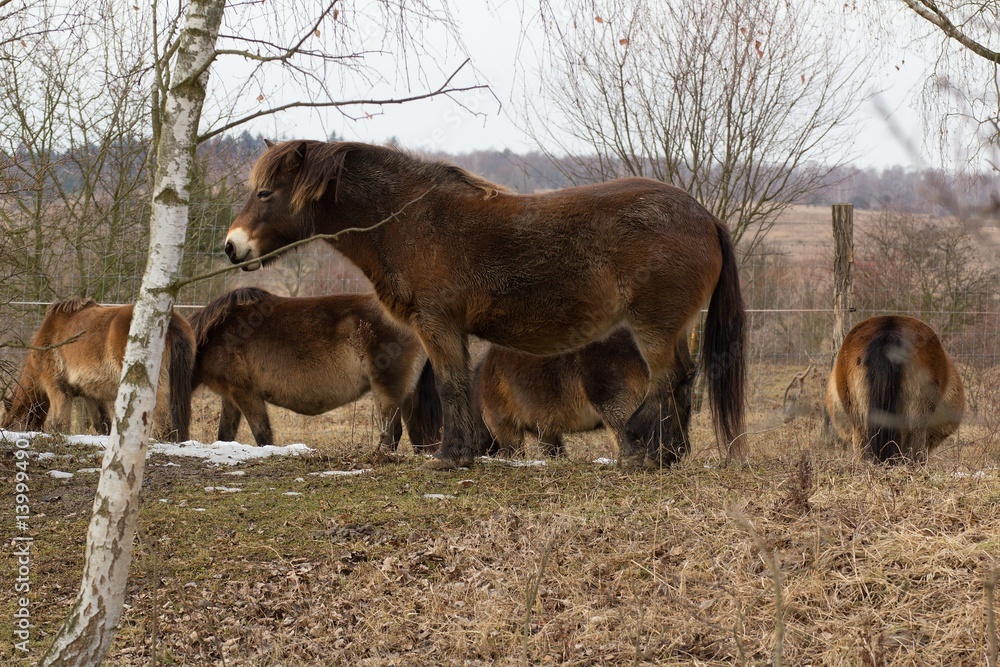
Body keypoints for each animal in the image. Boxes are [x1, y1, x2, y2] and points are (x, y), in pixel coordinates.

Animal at [1, 299, 194, 441]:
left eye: (7, 423)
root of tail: (172, 322)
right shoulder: (92, 395)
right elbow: (103, 424)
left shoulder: (57, 388)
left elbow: (59, 424)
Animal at [189, 287, 442, 451]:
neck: (217, 332)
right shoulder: (230, 396)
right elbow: (225, 436)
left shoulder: (246, 394)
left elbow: (263, 436)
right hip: (409, 395)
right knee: (418, 435)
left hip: (387, 391)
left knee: (392, 434)